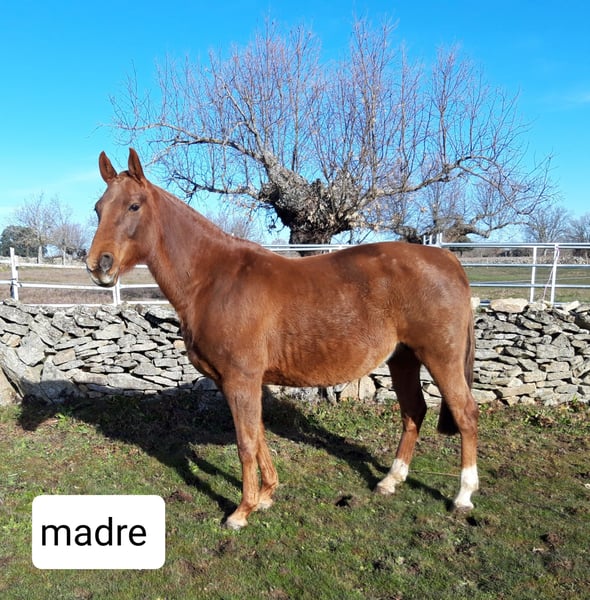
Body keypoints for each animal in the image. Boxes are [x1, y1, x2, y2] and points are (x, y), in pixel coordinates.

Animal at [86, 148, 479, 530]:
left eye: (134, 206)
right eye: (98, 208)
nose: (98, 265)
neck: (213, 280)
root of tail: (447, 259)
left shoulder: (241, 379)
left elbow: (246, 442)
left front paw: (241, 512)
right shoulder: (240, 382)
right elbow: (259, 435)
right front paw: (266, 496)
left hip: (440, 357)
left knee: (465, 413)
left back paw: (463, 497)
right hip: (403, 358)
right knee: (414, 411)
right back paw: (390, 481)